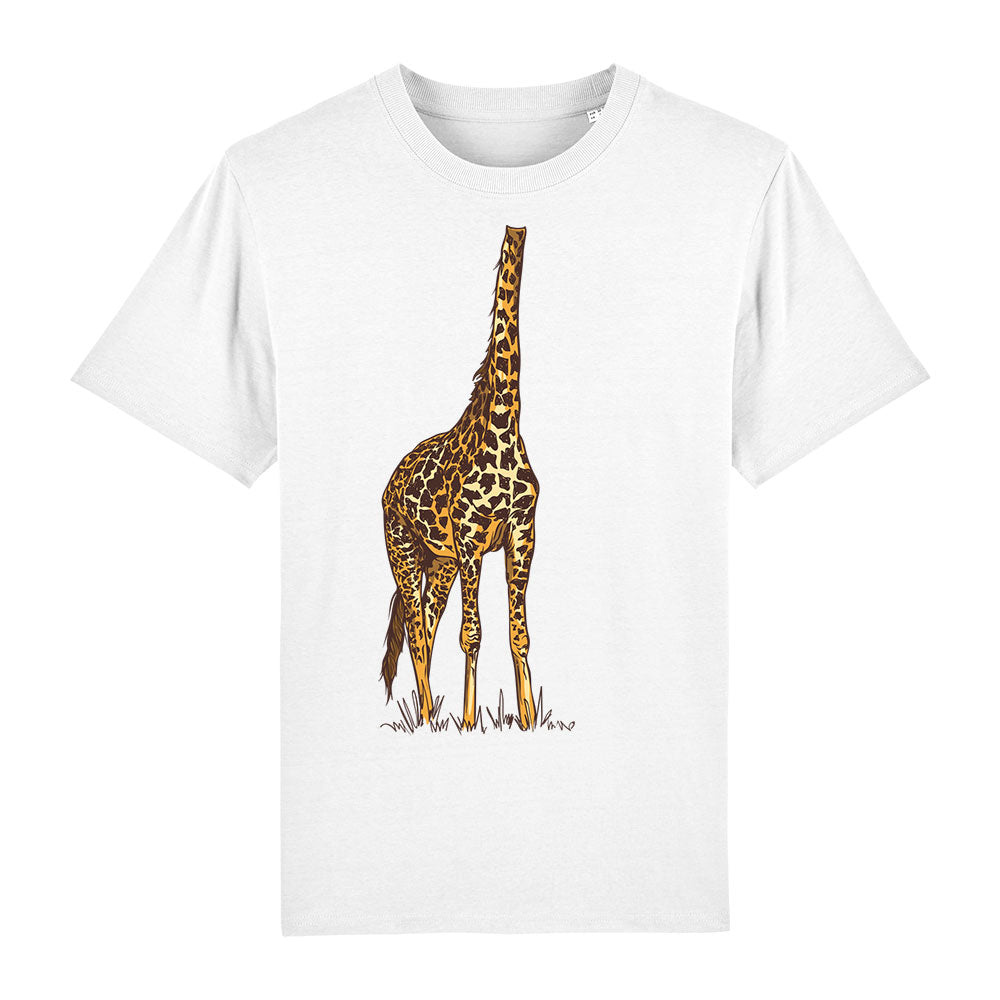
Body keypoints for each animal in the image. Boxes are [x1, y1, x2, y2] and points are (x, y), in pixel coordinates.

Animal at [380, 225, 539, 731]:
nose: (519, 228)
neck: (504, 422)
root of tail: (390, 483)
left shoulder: (522, 532)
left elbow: (518, 633)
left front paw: (528, 721)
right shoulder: (471, 538)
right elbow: (472, 634)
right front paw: (470, 723)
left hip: (441, 562)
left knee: (426, 628)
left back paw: (429, 715)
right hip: (405, 552)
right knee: (416, 629)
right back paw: (429, 717)